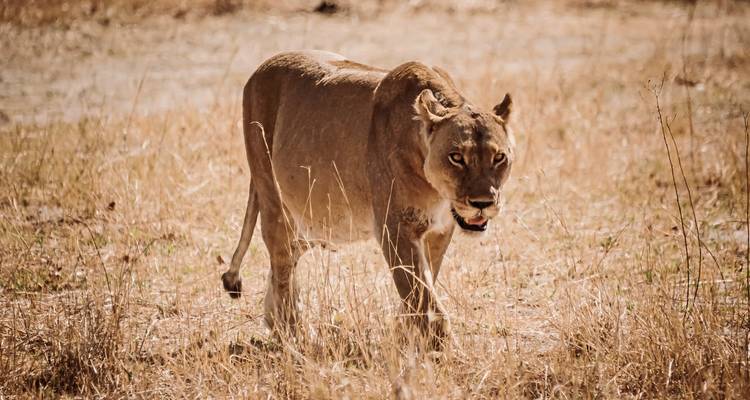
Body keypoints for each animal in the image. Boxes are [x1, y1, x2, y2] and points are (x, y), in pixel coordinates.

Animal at [221, 50, 515, 346]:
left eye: (499, 157)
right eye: (456, 157)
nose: (482, 203)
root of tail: (261, 68)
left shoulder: (440, 230)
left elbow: (424, 283)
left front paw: (405, 333)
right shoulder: (395, 228)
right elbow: (421, 294)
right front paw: (438, 347)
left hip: (311, 221)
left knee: (287, 261)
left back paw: (276, 322)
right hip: (272, 196)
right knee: (281, 264)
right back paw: (294, 336)